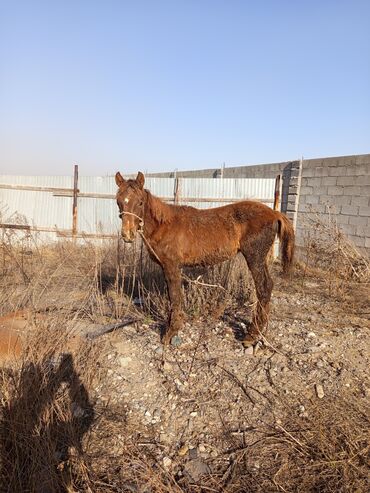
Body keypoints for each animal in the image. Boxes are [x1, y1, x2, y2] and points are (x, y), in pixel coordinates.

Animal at [115, 172, 294, 346]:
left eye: (140, 202)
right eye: (118, 201)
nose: (127, 235)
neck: (164, 225)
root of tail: (274, 213)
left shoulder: (172, 266)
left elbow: (175, 296)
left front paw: (171, 332)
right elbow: (171, 295)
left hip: (255, 257)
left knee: (264, 287)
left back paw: (252, 334)